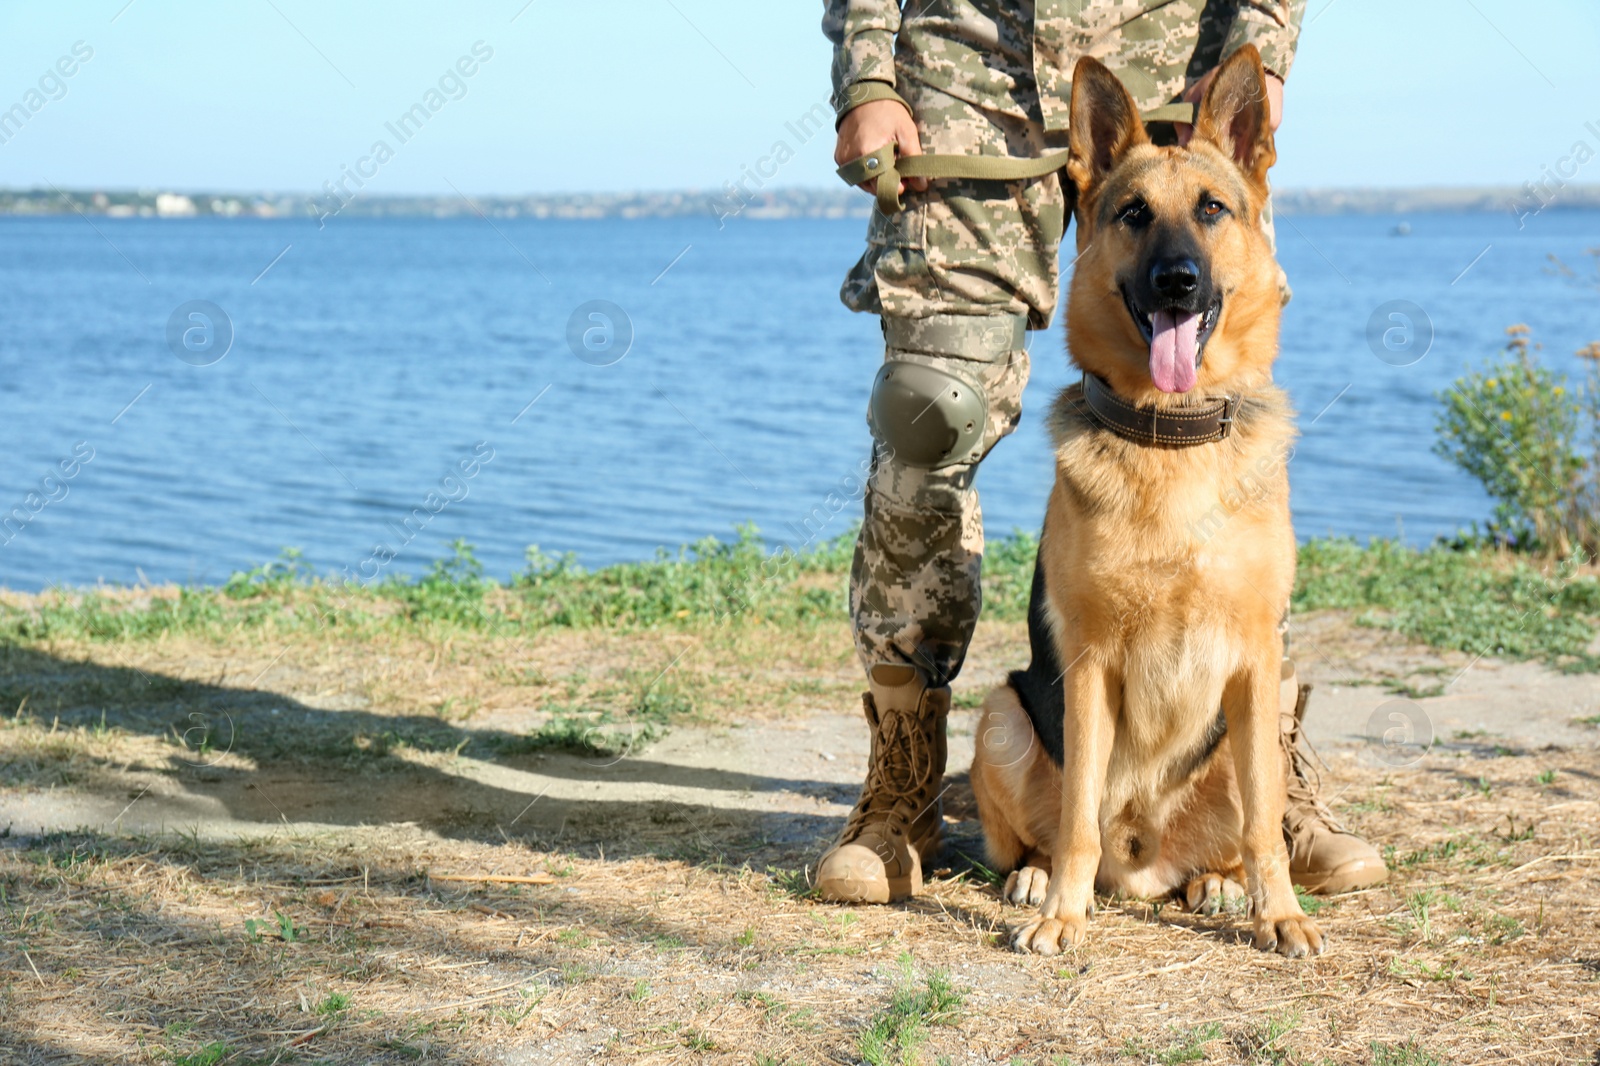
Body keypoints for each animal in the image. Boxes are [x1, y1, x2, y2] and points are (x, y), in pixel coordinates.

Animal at [960, 45, 1324, 953]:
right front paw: (1062, 915)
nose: (1178, 282)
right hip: (1002, 714)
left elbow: (1266, 824)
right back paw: (1034, 879)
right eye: (1131, 214)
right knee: (1050, 827)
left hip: (1248, 732)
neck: (1171, 436)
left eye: (1212, 210)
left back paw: (1220, 885)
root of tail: (1143, 867)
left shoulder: (1256, 663)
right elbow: (1078, 815)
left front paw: (1280, 913)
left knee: (1236, 828)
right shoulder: (1089, 667)